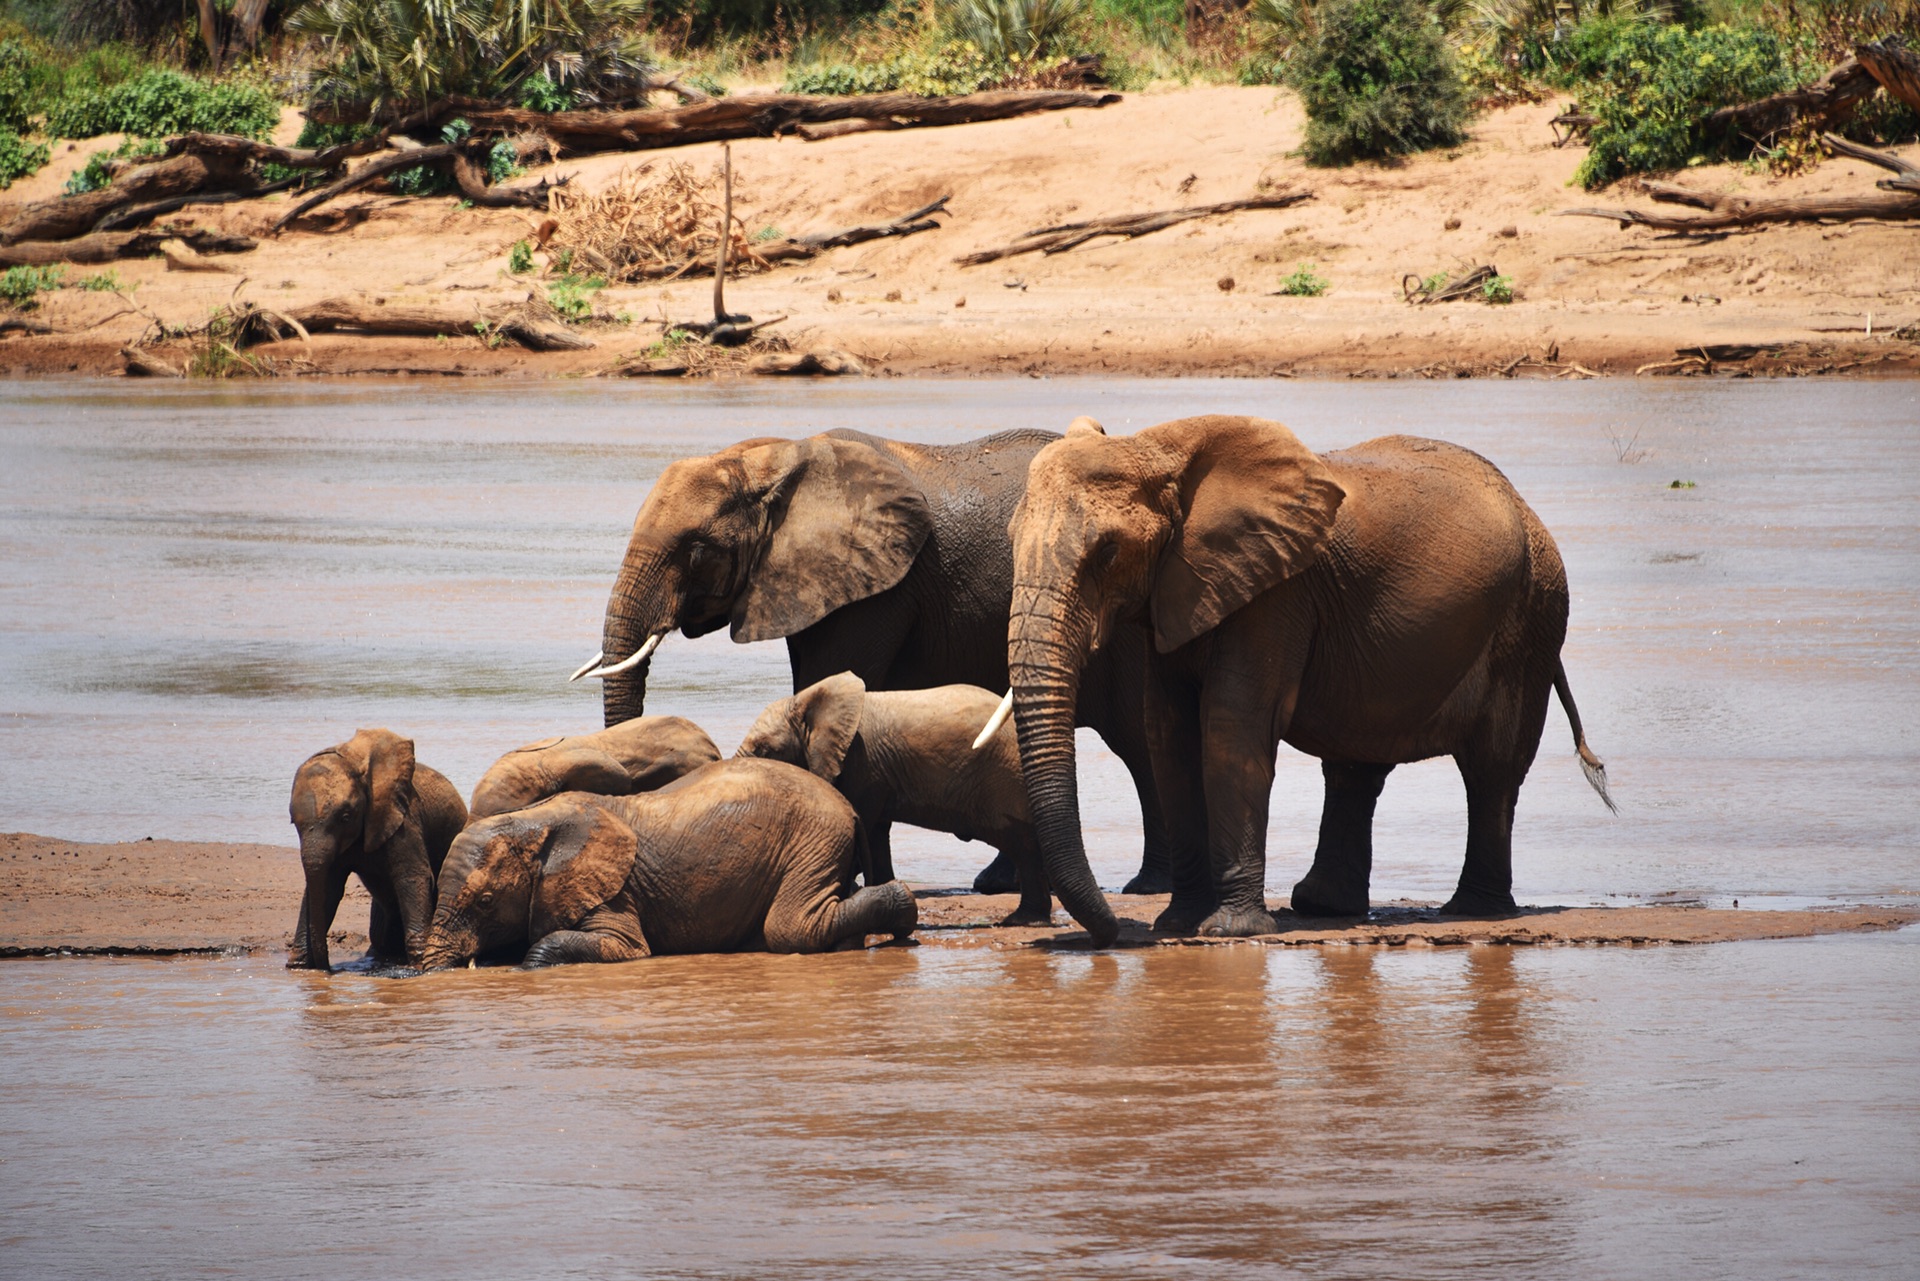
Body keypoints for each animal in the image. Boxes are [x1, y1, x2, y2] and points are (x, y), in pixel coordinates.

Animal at [288, 725, 468, 967]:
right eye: (293, 822)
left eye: (346, 817)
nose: (326, 966)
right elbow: (328, 887)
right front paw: (298, 965)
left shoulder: (403, 817)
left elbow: (411, 877)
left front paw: (420, 964)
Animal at [424, 760, 917, 971]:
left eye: (486, 901)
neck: (536, 821)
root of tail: (847, 806)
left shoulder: (613, 893)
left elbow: (624, 947)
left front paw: (528, 964)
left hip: (813, 837)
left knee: (791, 928)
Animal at [568, 426, 1167, 898]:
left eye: (695, 550)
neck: (775, 459)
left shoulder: (876, 590)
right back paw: (999, 883)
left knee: (1139, 745)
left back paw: (1146, 885)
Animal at [733, 672, 1052, 933]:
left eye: (765, 749)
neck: (809, 702)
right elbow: (874, 834)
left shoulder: (860, 764)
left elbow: (865, 827)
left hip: (1004, 779)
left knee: (1022, 844)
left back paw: (1023, 921)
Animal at [998, 416, 1612, 948]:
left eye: (1107, 552)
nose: (1119, 933)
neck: (1157, 448)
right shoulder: (1177, 592)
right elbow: (1167, 733)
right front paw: (1177, 924)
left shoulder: (1275, 592)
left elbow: (1231, 727)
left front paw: (1228, 932)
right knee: (1357, 765)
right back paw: (1324, 907)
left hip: (1531, 617)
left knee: (1492, 769)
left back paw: (1472, 910)